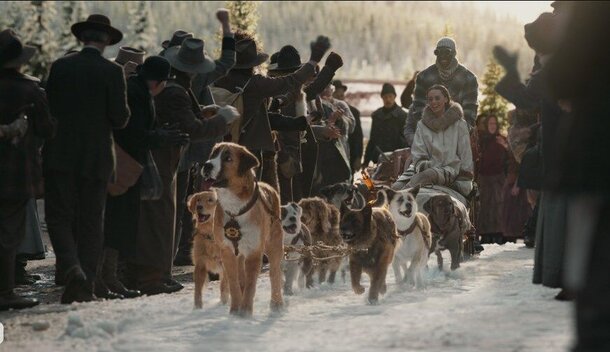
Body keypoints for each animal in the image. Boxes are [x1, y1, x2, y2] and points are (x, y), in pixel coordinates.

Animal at [201, 142, 284, 316]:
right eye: (213, 154)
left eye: (228, 158)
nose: (207, 165)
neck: (235, 208)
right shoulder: (227, 251)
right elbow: (234, 282)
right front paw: (235, 311)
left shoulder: (254, 251)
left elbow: (251, 283)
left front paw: (245, 312)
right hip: (239, 255)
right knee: (241, 278)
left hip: (274, 244)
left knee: (274, 273)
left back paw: (277, 303)